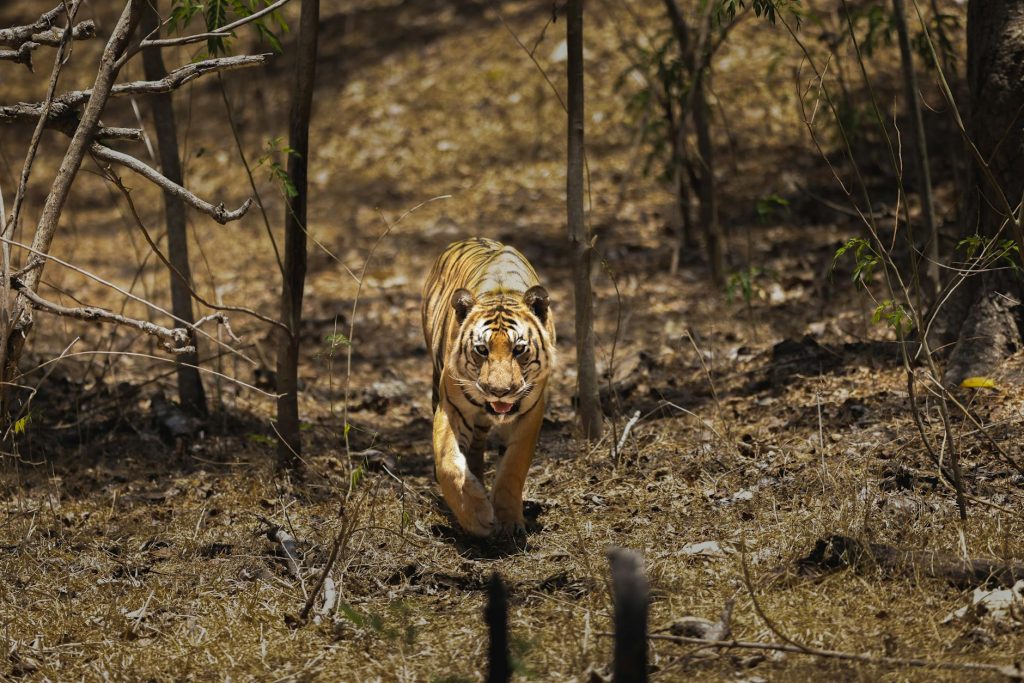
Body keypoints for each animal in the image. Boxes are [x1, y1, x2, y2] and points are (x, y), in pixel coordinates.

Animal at [421, 237, 556, 537]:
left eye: (519, 350)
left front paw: (508, 521)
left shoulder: (531, 413)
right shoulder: (452, 408)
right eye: (482, 350)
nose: (499, 391)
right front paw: (477, 517)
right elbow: (448, 462)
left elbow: (513, 467)